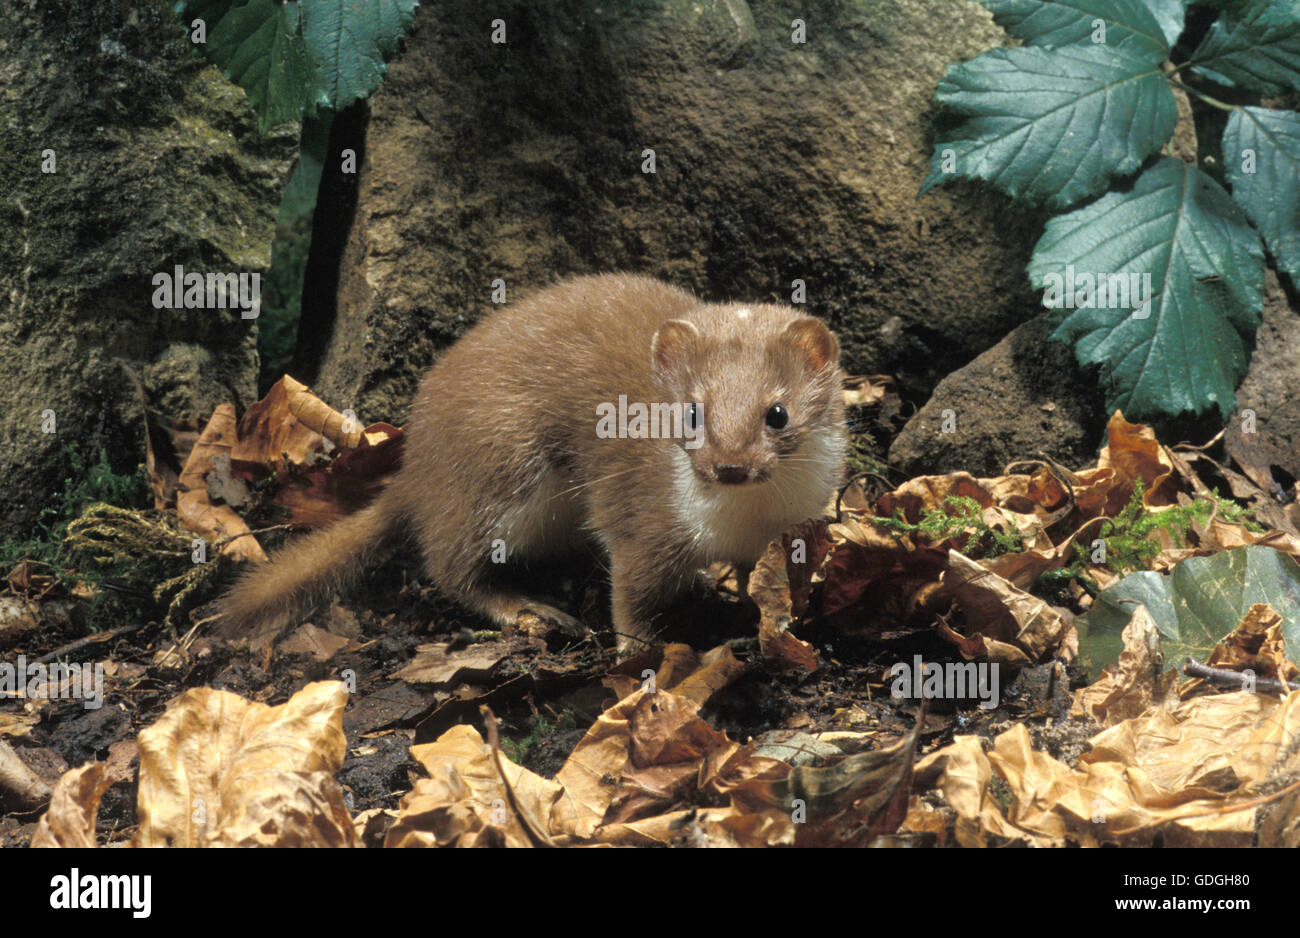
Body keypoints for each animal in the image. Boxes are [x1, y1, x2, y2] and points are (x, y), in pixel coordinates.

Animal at [218, 270, 847, 649]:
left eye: (777, 412)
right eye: (691, 411)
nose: (731, 466)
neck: (742, 520)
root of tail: (416, 461)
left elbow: (752, 581)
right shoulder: (640, 520)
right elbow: (630, 598)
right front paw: (638, 659)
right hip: (499, 468)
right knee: (450, 566)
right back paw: (531, 609)